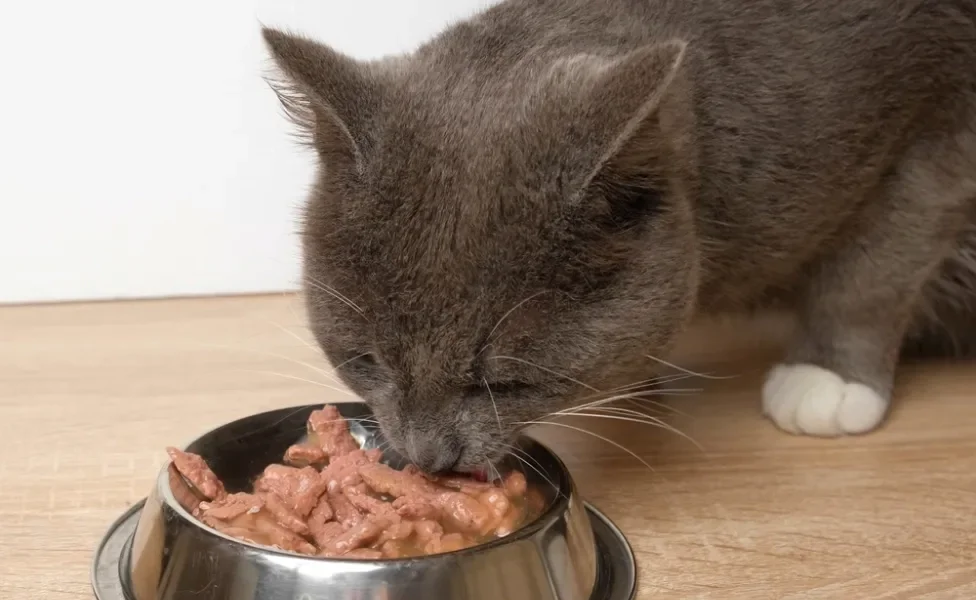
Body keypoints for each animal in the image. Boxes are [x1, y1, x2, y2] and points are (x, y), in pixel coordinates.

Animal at [260, 0, 976, 476]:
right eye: (366, 359)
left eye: (507, 381)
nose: (426, 458)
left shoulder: (940, 118)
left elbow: (875, 270)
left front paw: (828, 379)